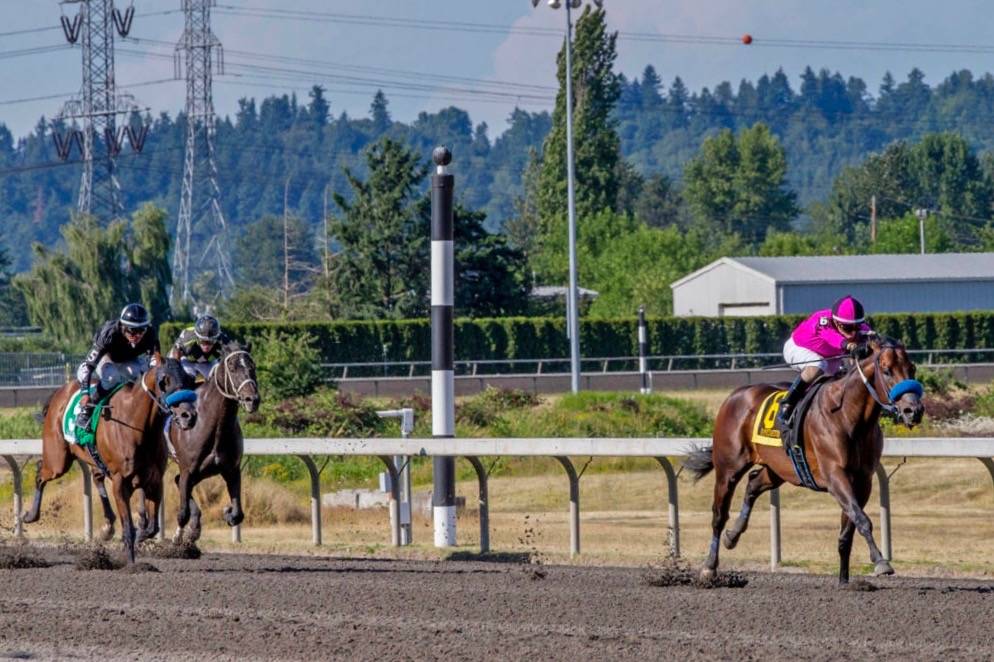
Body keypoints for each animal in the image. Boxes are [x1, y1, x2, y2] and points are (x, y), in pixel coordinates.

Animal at [680, 338, 924, 588]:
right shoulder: (835, 475)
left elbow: (849, 527)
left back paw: (733, 535)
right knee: (719, 515)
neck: (847, 415)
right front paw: (880, 562)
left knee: (753, 483)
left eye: (912, 368)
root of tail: (735, 395)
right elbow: (862, 519)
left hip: (779, 469)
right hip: (728, 468)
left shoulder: (862, 480)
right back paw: (709, 567)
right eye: (886, 370)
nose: (913, 410)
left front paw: (844, 580)